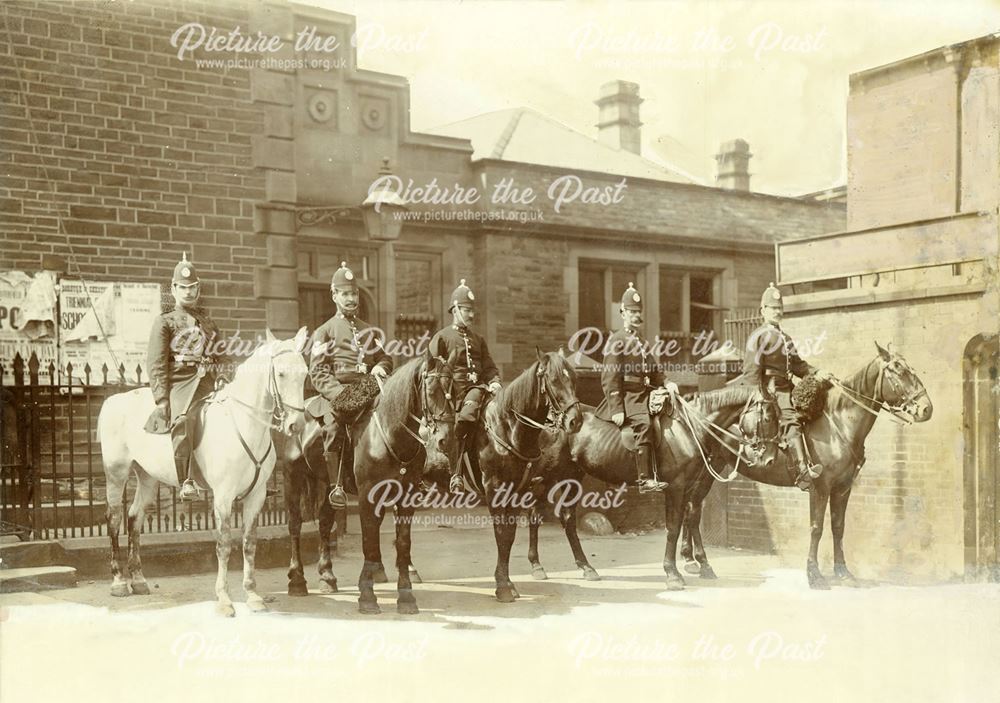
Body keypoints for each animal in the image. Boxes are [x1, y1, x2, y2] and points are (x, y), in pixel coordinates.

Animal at [99, 330, 308, 616]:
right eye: (282, 374)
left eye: (305, 374)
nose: (296, 425)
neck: (245, 424)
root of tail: (113, 400)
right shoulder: (223, 497)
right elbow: (224, 545)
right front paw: (224, 600)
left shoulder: (256, 496)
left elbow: (249, 543)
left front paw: (252, 595)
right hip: (116, 472)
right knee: (114, 519)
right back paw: (119, 581)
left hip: (148, 478)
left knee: (134, 518)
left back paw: (139, 580)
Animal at [472, 350, 584, 604]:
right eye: (554, 380)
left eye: (574, 378)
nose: (576, 421)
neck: (506, 429)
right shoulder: (494, 490)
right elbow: (501, 534)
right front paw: (503, 587)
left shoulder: (518, 491)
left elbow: (509, 537)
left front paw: (507, 583)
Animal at [684, 340, 932, 588]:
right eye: (898, 370)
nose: (926, 409)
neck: (838, 424)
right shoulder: (819, 487)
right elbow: (817, 528)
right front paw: (814, 574)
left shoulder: (843, 488)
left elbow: (838, 527)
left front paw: (843, 572)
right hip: (703, 471)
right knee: (693, 510)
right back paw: (701, 563)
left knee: (691, 508)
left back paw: (692, 561)